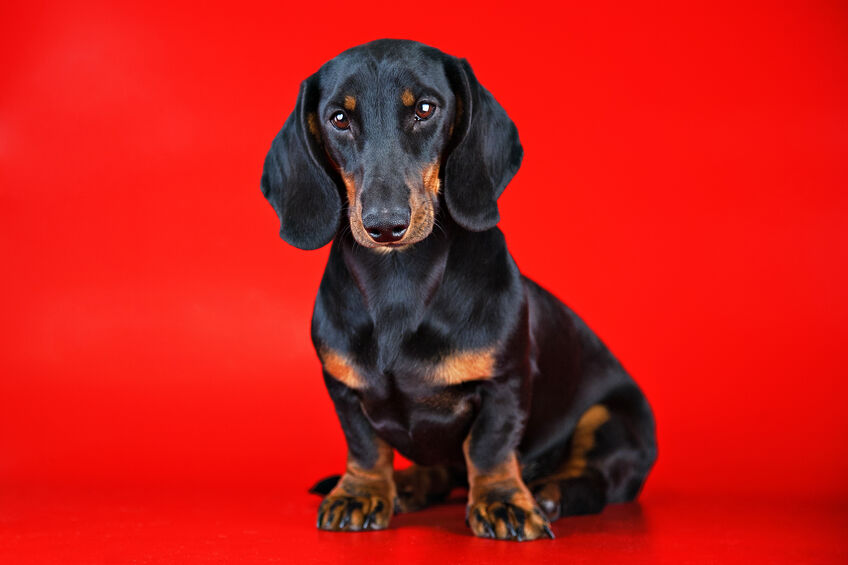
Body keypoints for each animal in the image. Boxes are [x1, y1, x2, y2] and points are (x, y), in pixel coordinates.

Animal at [262, 37, 660, 540]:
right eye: (338, 118)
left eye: (425, 109)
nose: (385, 225)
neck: (400, 284)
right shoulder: (343, 388)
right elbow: (365, 447)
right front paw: (361, 492)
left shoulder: (504, 383)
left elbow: (489, 447)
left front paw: (503, 502)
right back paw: (408, 486)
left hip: (612, 420)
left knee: (593, 481)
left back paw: (549, 493)